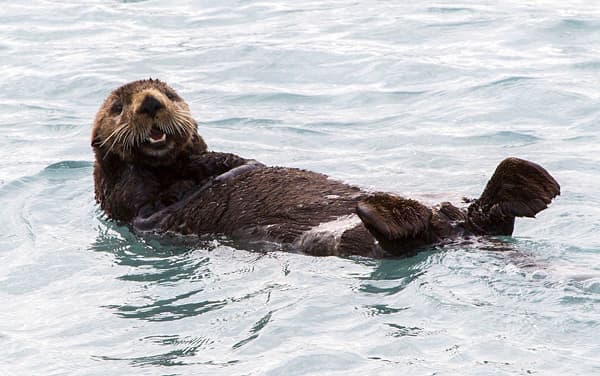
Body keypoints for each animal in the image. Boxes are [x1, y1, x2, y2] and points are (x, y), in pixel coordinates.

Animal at [91, 78, 560, 258]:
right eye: (118, 107)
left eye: (169, 93)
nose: (151, 103)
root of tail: (457, 233)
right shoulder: (134, 209)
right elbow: (152, 202)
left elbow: (232, 162)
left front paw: (216, 161)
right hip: (347, 240)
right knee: (404, 238)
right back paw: (384, 211)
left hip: (459, 213)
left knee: (486, 213)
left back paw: (528, 178)